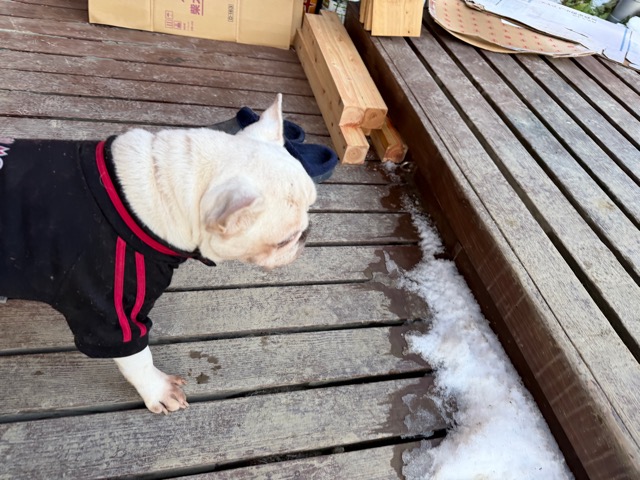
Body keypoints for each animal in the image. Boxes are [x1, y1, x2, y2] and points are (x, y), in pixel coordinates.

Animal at [0, 94, 317, 414]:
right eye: (284, 240)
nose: (307, 232)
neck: (155, 193)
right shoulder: (108, 313)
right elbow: (137, 359)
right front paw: (157, 390)